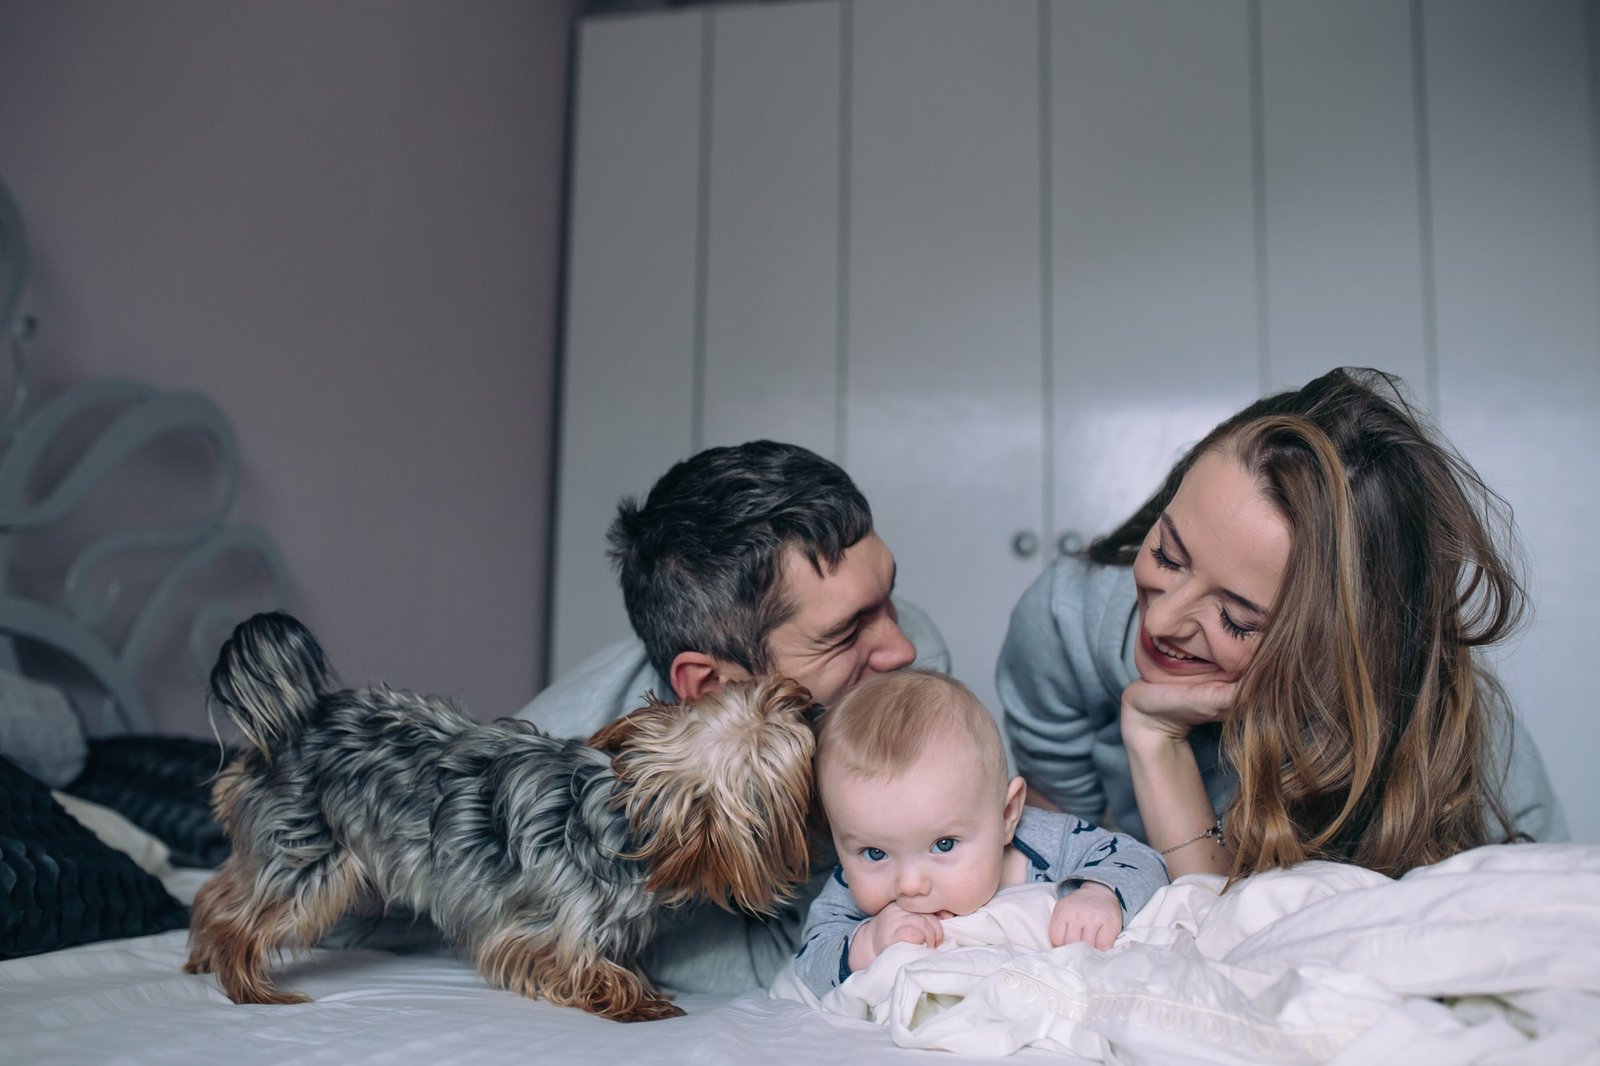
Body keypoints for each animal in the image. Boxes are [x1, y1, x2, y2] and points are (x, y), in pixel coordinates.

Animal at [181, 611, 819, 1017]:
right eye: (777, 750)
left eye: (765, 695)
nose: (804, 699)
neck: (624, 819)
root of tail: (298, 719)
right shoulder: (546, 929)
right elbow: (588, 969)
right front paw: (641, 1004)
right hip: (309, 861)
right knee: (244, 920)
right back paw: (251, 990)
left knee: (216, 893)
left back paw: (200, 959)